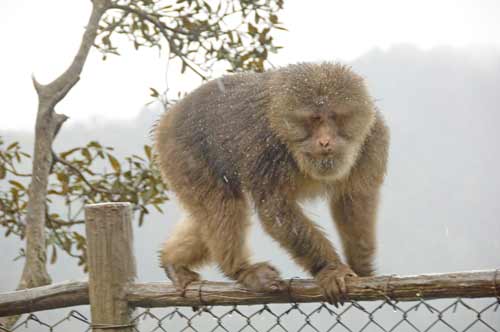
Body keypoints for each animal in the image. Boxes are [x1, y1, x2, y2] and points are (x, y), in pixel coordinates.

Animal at [154, 62, 388, 306]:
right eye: (313, 119)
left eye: (334, 117)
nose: (325, 141)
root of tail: (170, 115)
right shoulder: (265, 147)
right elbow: (276, 210)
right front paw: (331, 270)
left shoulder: (374, 139)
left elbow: (354, 199)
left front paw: (361, 265)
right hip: (181, 151)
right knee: (222, 205)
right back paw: (241, 270)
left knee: (208, 212)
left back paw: (173, 263)